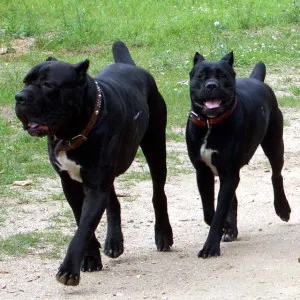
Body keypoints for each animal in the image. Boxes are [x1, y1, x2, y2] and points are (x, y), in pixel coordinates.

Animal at [14, 41, 173, 284]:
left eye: (48, 85)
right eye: (26, 82)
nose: (19, 96)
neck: (71, 131)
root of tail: (129, 65)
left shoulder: (96, 186)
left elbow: (83, 228)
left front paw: (68, 270)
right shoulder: (71, 184)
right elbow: (82, 221)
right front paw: (90, 258)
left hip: (155, 148)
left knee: (158, 193)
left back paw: (163, 234)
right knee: (114, 202)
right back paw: (114, 242)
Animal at [186, 51, 292, 258]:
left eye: (222, 75)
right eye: (201, 76)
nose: (212, 85)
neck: (211, 124)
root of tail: (256, 80)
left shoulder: (228, 173)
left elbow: (218, 212)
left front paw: (210, 247)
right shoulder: (203, 173)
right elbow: (210, 212)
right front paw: (226, 228)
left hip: (274, 144)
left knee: (276, 176)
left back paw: (282, 208)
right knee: (232, 199)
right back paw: (231, 230)